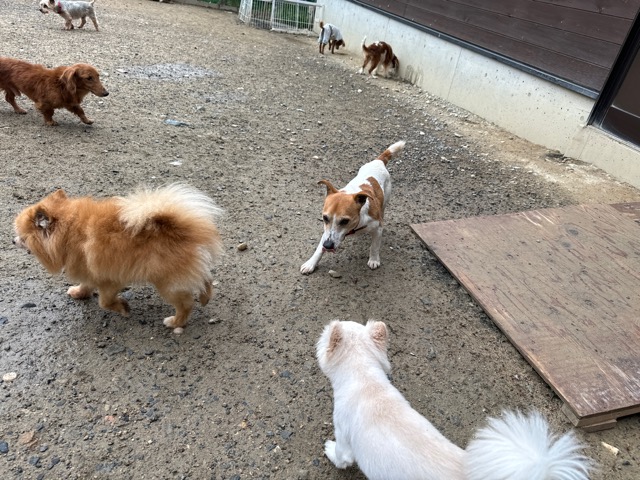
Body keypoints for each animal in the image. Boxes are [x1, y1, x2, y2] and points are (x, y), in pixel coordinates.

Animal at [13, 184, 224, 334]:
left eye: (23, 237)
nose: (12, 240)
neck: (69, 233)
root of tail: (183, 230)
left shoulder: (110, 279)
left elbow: (104, 302)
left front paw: (123, 308)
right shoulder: (89, 271)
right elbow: (86, 284)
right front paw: (79, 293)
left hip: (167, 284)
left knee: (186, 303)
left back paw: (175, 321)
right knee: (206, 278)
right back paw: (205, 297)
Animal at [300, 141, 405, 274]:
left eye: (345, 221)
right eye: (325, 218)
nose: (328, 246)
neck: (357, 224)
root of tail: (379, 161)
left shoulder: (377, 228)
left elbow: (374, 246)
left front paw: (374, 260)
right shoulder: (326, 233)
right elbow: (319, 249)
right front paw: (311, 263)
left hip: (386, 198)